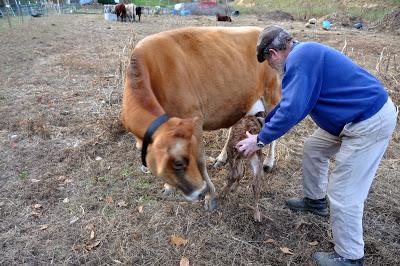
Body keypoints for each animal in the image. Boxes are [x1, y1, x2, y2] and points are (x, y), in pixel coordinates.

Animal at [120, 27, 280, 210]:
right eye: (178, 163)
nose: (200, 191)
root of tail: (260, 29)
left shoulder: (194, 119)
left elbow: (201, 161)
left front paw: (210, 197)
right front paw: (168, 186)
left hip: (272, 96)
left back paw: (268, 162)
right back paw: (222, 157)